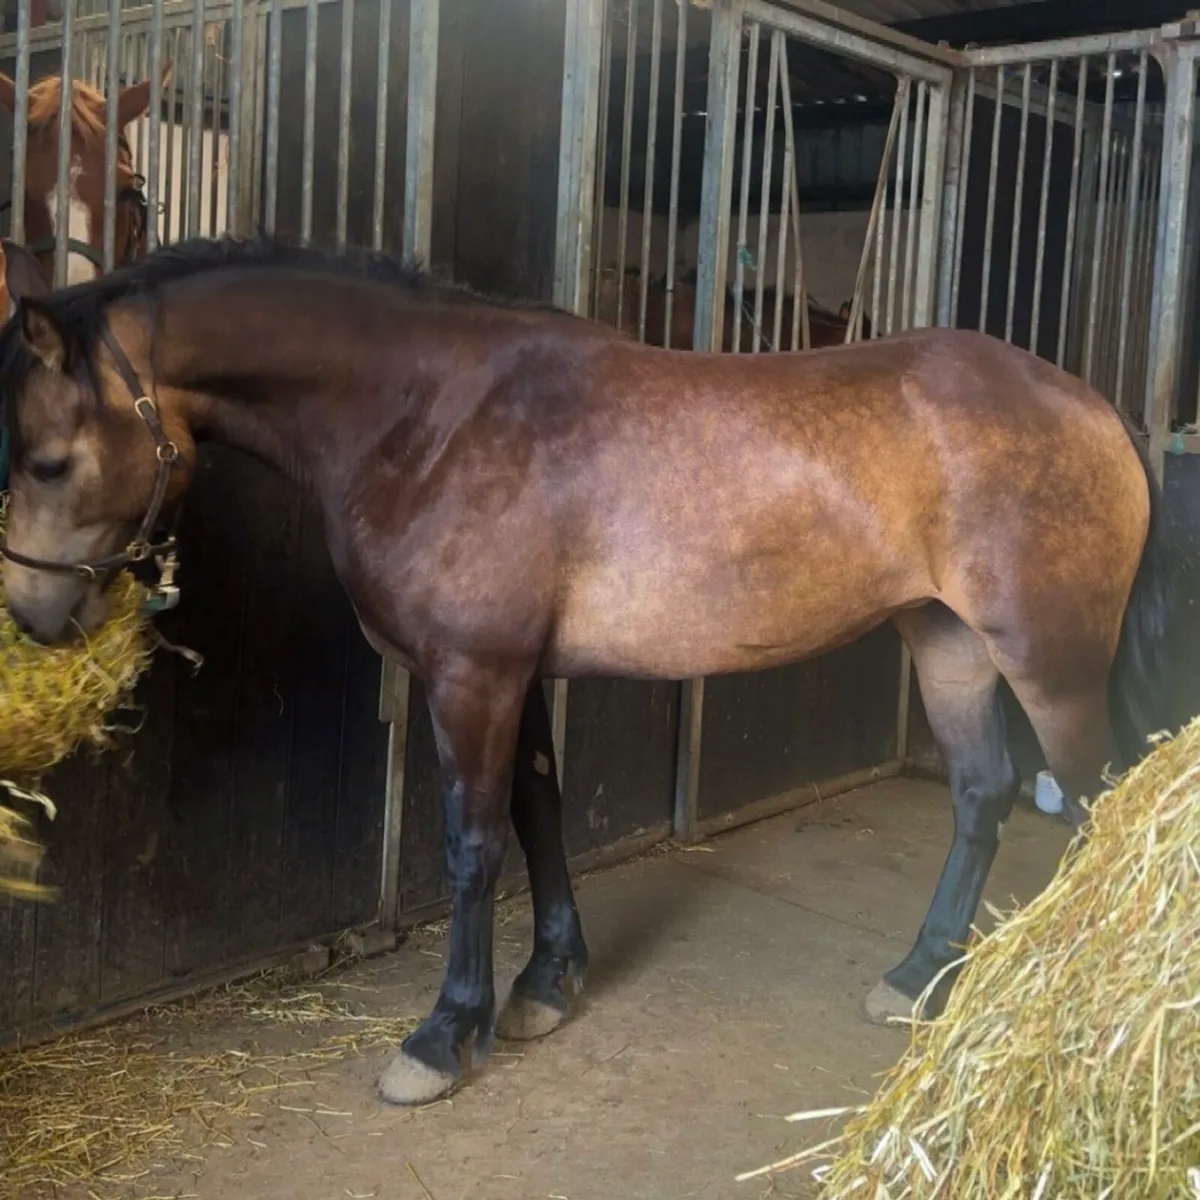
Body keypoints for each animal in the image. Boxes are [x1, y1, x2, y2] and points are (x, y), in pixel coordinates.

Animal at [0, 234, 1172, 1109]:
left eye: (48, 460)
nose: (33, 614)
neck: (429, 415)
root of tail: (1093, 406)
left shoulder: (470, 674)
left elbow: (473, 844)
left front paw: (444, 1035)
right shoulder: (515, 674)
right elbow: (537, 815)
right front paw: (546, 986)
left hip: (1051, 663)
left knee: (1103, 807)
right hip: (949, 644)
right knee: (984, 795)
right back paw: (922, 978)